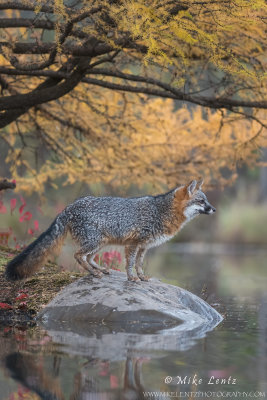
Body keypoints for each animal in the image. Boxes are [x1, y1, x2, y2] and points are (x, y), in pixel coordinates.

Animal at [5, 178, 216, 282]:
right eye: (201, 201)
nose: (214, 209)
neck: (161, 211)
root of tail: (68, 207)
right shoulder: (133, 244)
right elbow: (129, 264)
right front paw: (132, 279)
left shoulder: (144, 246)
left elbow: (139, 264)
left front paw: (141, 277)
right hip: (95, 242)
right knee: (78, 256)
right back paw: (93, 273)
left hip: (101, 243)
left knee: (88, 257)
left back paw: (100, 270)